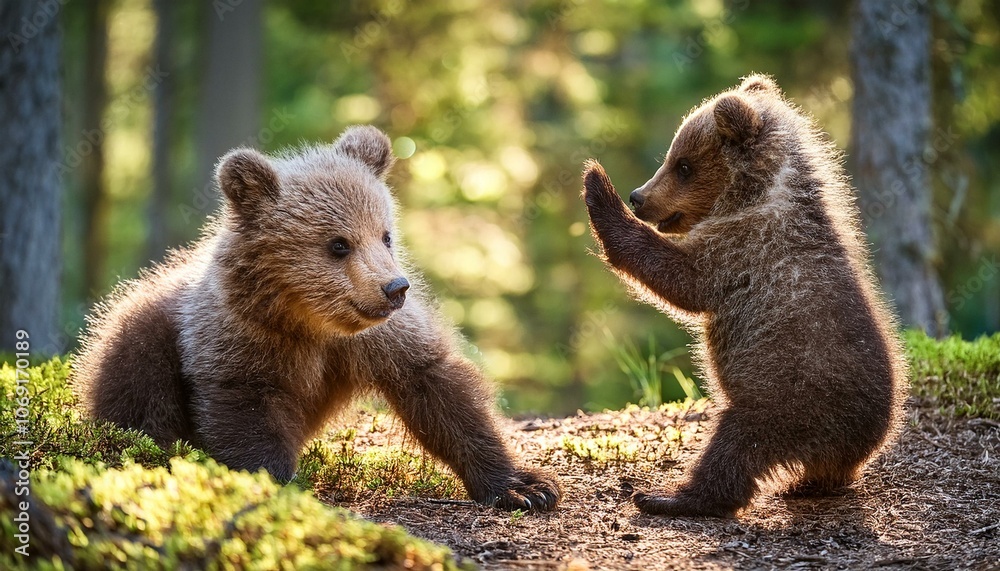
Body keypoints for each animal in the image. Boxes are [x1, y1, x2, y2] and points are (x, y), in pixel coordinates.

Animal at [73, 125, 560, 512]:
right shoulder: (238, 341)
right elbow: (246, 413)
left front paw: (524, 486)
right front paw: (278, 484)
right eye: (338, 244)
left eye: (385, 234)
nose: (395, 288)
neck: (311, 321)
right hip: (136, 343)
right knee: (139, 404)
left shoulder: (380, 339)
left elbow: (439, 390)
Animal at [581, 74, 908, 518]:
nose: (638, 196)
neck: (758, 193)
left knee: (733, 447)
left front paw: (597, 185)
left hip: (786, 399)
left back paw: (670, 496)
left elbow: (684, 280)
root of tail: (870, 436)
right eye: (673, 157)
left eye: (683, 165)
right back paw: (804, 485)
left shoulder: (744, 247)